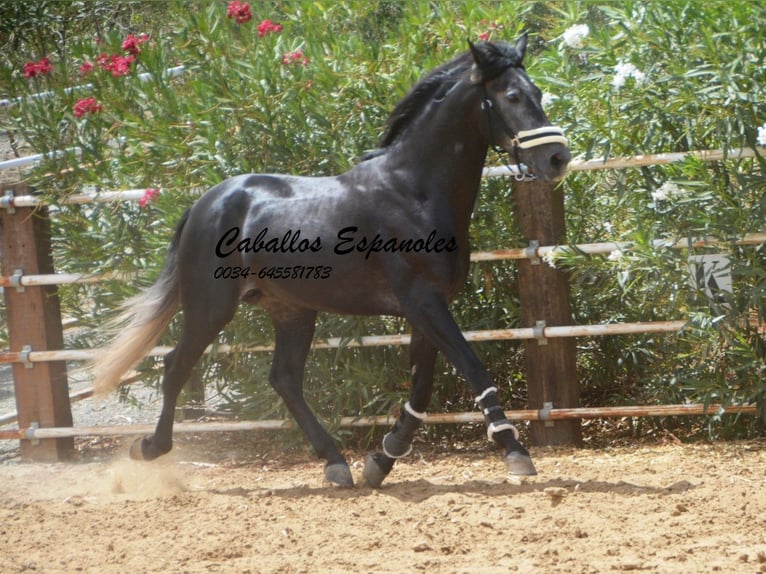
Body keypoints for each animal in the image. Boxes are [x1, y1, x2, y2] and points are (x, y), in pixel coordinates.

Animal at [93, 33, 568, 488]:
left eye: (537, 92)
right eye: (511, 96)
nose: (557, 158)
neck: (412, 190)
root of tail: (204, 204)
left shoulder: (427, 307)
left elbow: (421, 388)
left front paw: (381, 460)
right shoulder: (421, 301)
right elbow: (471, 367)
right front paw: (516, 453)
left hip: (292, 310)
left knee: (284, 379)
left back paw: (337, 465)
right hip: (211, 306)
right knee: (177, 365)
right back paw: (148, 448)